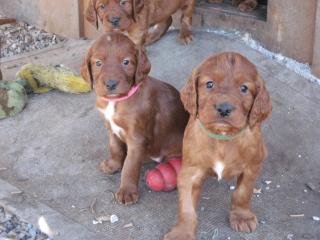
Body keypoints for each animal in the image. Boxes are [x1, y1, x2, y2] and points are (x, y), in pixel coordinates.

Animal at [81, 31, 189, 204]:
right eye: (98, 63)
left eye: (126, 62)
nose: (111, 84)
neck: (116, 101)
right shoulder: (110, 127)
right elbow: (115, 148)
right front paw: (113, 164)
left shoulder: (136, 138)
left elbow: (130, 166)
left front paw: (127, 191)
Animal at [165, 51, 272, 239]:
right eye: (209, 84)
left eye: (244, 88)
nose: (224, 108)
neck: (222, 136)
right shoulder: (190, 172)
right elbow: (187, 208)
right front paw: (182, 232)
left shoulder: (251, 167)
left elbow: (243, 193)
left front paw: (242, 217)